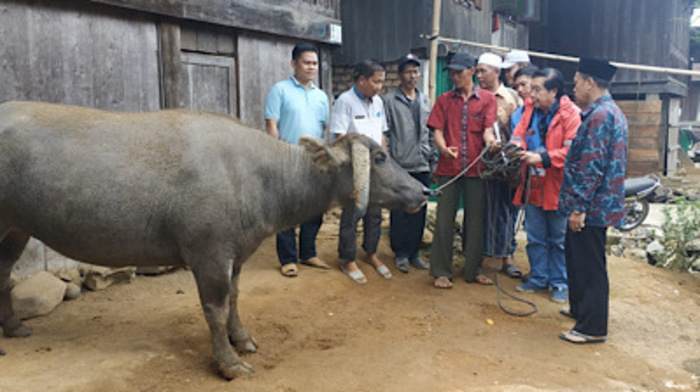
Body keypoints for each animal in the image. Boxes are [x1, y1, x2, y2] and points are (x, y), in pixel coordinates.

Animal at [0, 100, 426, 380]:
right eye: (380, 157)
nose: (422, 190)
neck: (257, 174)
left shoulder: (234, 256)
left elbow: (235, 299)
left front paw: (243, 339)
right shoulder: (209, 256)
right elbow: (215, 309)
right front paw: (229, 363)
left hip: (16, 229)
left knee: (4, 275)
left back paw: (14, 326)